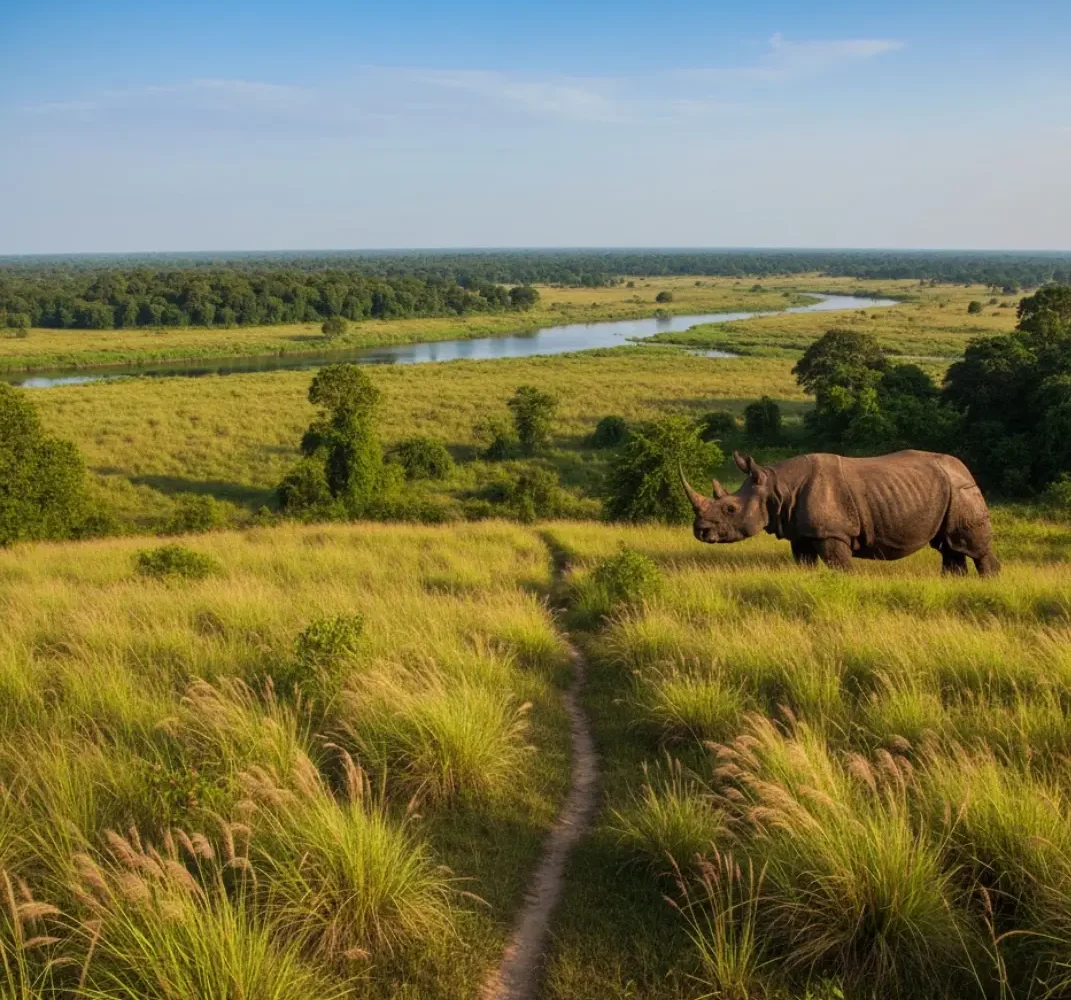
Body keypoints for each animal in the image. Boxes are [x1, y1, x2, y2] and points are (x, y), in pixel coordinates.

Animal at [679, 449, 999, 576]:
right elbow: (804, 563)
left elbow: (839, 566)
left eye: (730, 508)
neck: (776, 487)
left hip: (962, 492)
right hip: (949, 491)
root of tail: (966, 470)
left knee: (972, 547)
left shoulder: (833, 532)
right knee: (950, 547)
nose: (699, 531)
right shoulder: (801, 533)